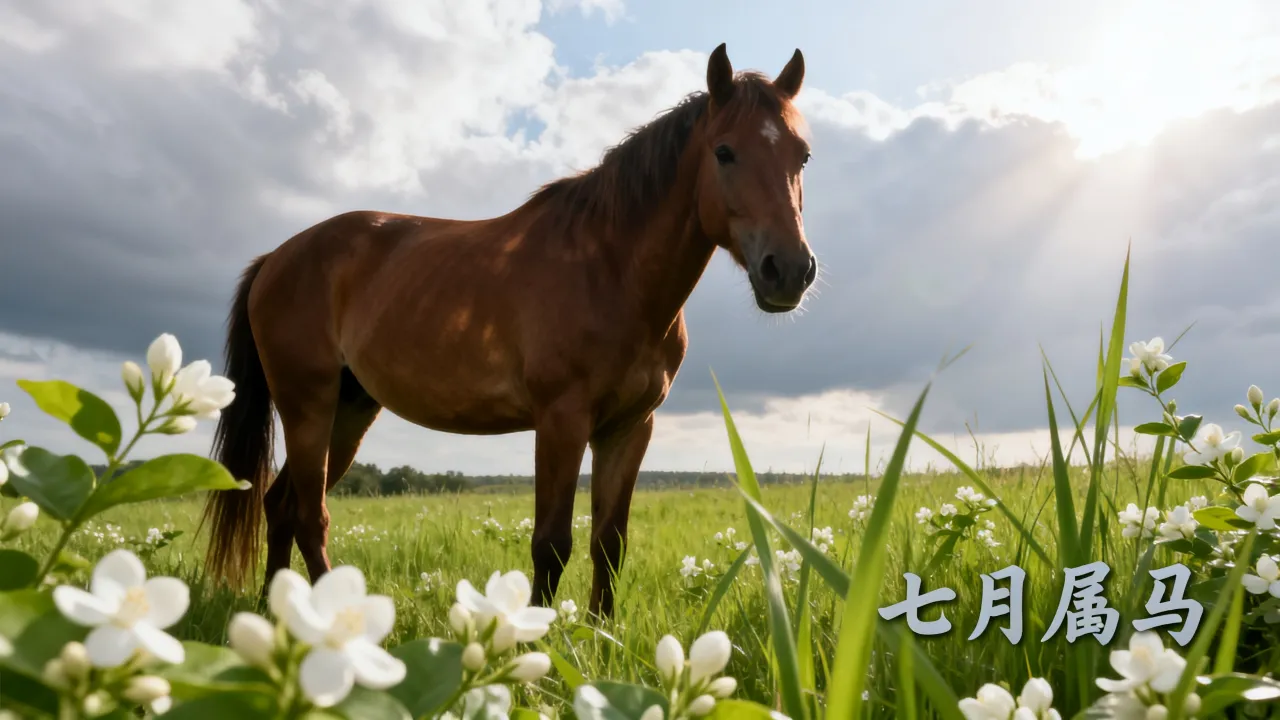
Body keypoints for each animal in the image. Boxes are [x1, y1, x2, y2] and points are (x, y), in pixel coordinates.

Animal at [201, 43, 819, 618]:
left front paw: (601, 639)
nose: (789, 270)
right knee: (309, 516)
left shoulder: (629, 428)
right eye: (724, 151)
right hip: (308, 405)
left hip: (349, 411)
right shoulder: (561, 420)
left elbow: (609, 543)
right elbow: (551, 544)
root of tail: (276, 258)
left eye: (803, 155)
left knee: (280, 506)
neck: (609, 269)